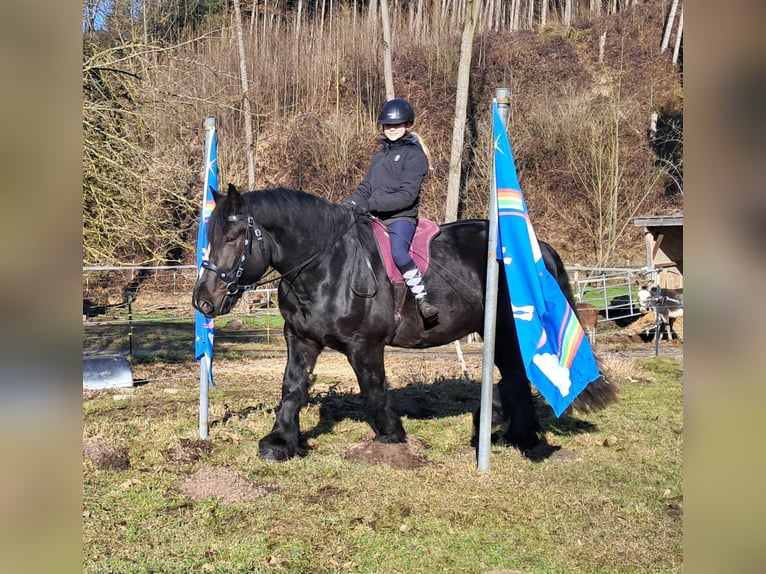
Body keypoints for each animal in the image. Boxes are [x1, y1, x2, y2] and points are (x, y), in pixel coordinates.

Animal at [194, 186, 616, 464]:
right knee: (514, 376)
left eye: (232, 237)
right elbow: (292, 388)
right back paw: (512, 433)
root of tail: (537, 248)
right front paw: (281, 443)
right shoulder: (299, 339)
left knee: (516, 376)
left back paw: (514, 433)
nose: (203, 301)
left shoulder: (364, 345)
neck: (326, 265)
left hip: (510, 330)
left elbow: (374, 390)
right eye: (209, 237)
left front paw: (392, 435)